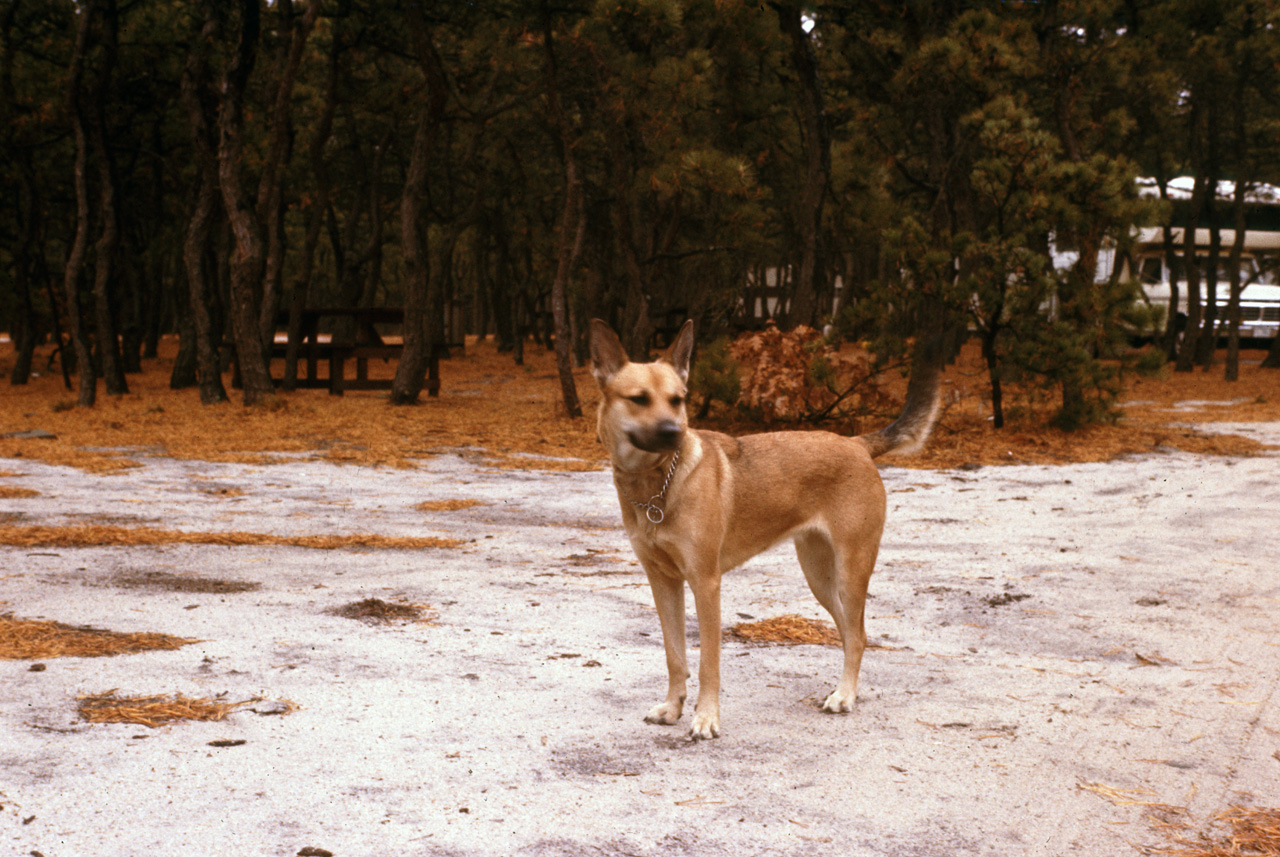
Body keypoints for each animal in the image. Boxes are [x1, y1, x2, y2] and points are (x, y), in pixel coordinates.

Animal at [588, 318, 942, 741]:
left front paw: (706, 717)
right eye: (639, 399)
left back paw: (844, 696)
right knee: (850, 634)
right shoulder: (663, 583)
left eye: (678, 400)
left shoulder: (705, 583)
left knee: (857, 636)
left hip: (851, 571)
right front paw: (673, 708)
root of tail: (857, 444)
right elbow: (675, 656)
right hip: (820, 577)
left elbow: (708, 663)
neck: (658, 484)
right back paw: (844, 690)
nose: (675, 432)